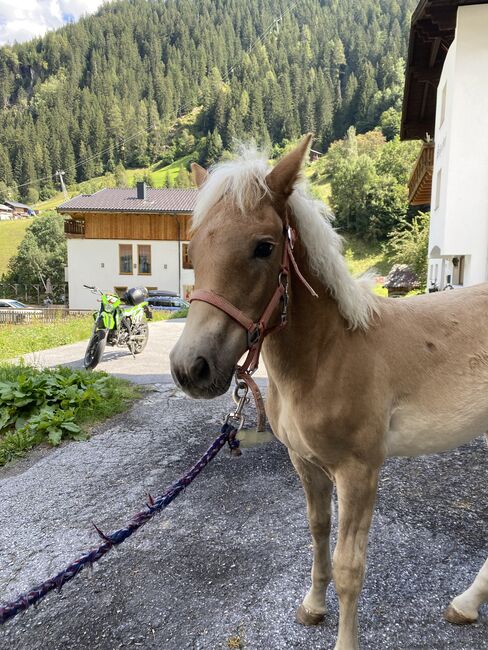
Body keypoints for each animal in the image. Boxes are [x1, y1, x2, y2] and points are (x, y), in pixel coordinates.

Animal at [170, 134, 486, 644]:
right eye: (193, 250)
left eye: (264, 247)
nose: (190, 368)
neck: (327, 355)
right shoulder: (306, 462)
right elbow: (318, 534)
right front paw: (313, 607)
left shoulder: (359, 472)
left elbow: (349, 566)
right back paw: (466, 603)